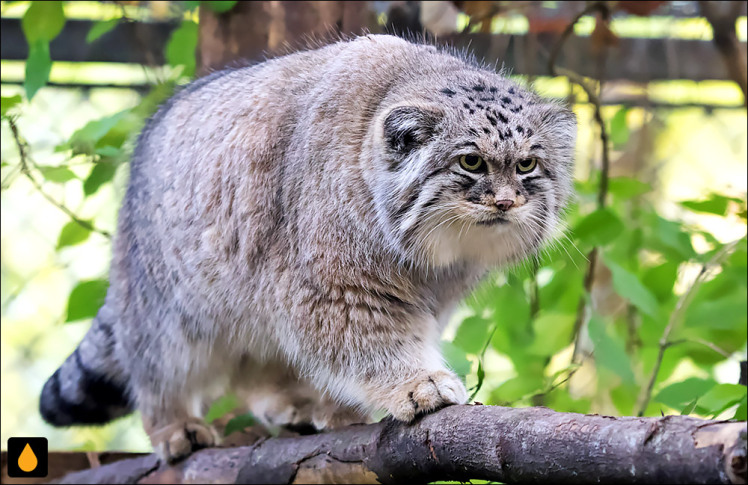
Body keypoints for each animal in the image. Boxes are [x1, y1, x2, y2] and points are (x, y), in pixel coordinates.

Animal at [39, 35, 580, 462]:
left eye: (528, 164)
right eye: (471, 162)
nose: (507, 201)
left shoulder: (429, 299)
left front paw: (341, 409)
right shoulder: (328, 284)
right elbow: (368, 340)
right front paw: (417, 383)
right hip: (168, 309)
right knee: (157, 367)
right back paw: (174, 426)